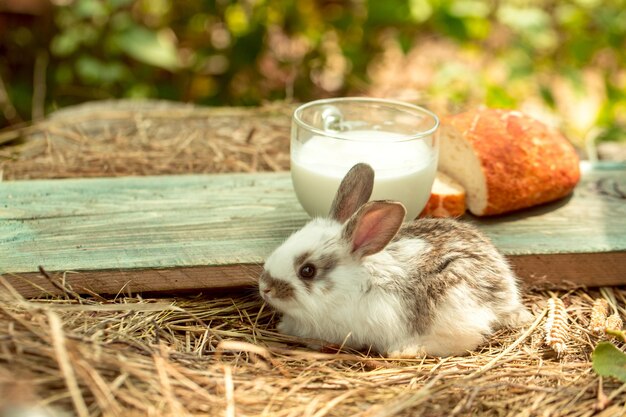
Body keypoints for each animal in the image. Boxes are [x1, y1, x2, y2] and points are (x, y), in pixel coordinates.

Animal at [256, 162, 528, 358]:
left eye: (307, 270)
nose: (265, 287)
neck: (350, 286)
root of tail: (506, 295)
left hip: (452, 305)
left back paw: (405, 350)